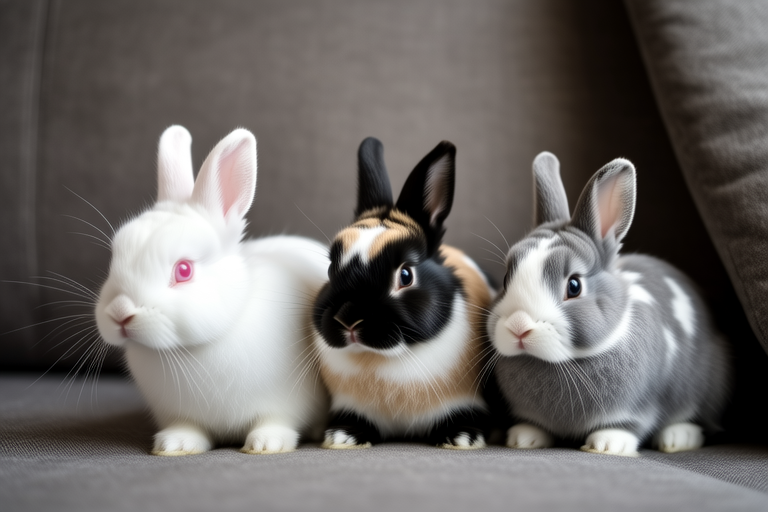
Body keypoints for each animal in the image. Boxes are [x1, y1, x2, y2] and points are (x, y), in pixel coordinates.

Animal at [95, 125, 329, 455]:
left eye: (183, 270)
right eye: (116, 256)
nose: (120, 313)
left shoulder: (285, 404)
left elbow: (275, 421)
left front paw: (266, 443)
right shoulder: (179, 413)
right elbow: (188, 428)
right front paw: (175, 444)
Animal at [312, 137, 496, 450]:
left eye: (406, 276)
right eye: (330, 269)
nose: (348, 318)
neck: (387, 358)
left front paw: (462, 437)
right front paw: (342, 435)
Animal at [488, 151, 730, 456]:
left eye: (574, 286)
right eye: (506, 278)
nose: (519, 326)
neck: (563, 362)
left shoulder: (639, 407)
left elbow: (628, 426)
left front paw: (608, 444)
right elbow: (533, 425)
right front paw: (523, 438)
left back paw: (678, 438)